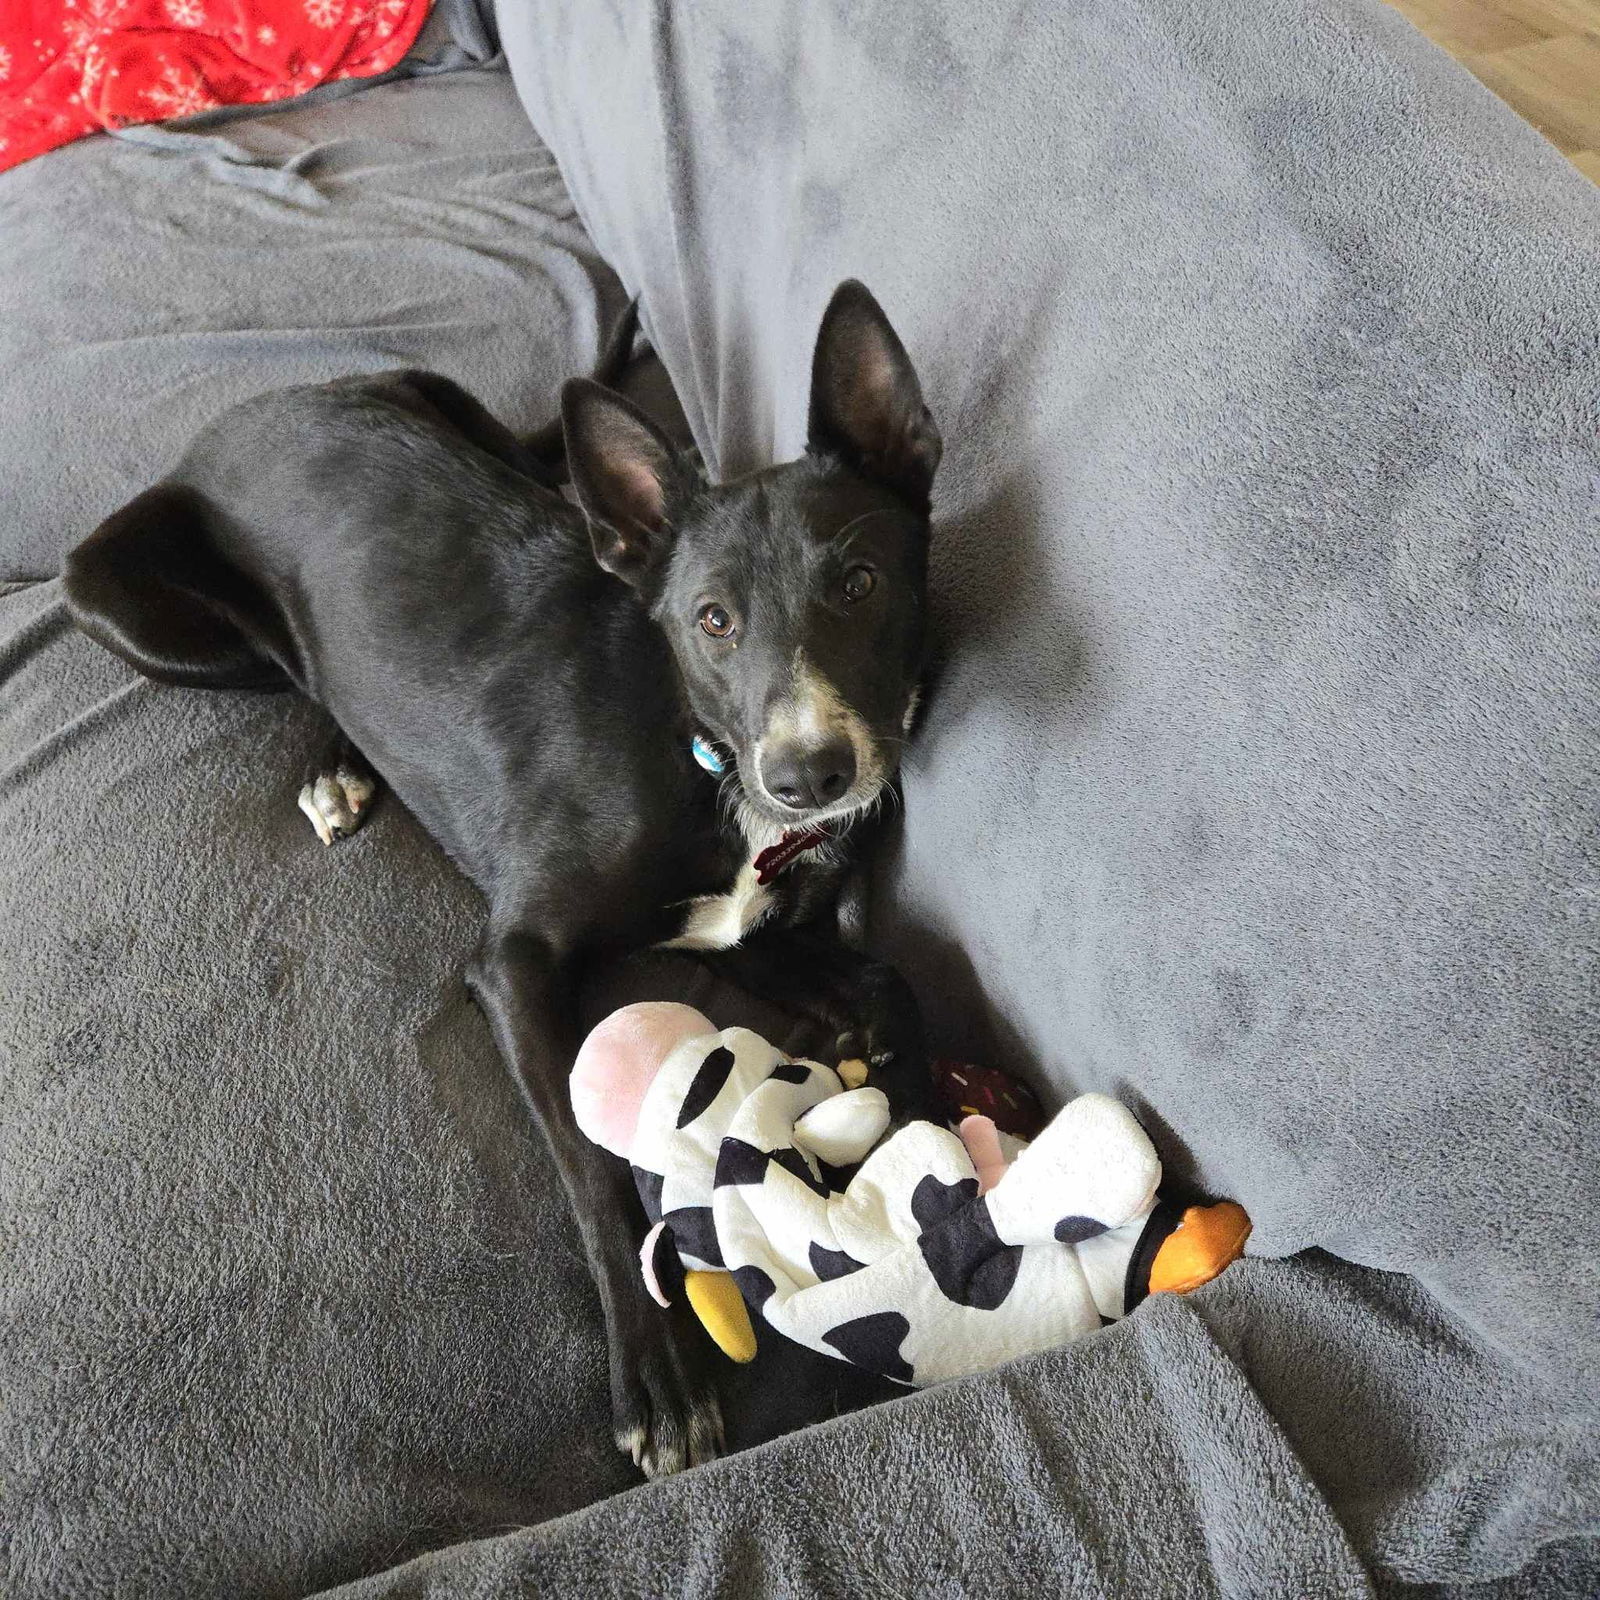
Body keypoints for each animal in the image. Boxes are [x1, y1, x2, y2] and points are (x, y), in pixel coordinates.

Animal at [65, 281, 934, 1478]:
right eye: (712, 620)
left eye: (859, 583)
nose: (810, 775)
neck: (696, 749)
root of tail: (239, 414)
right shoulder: (513, 961)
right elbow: (590, 1167)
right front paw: (658, 1380)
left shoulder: (756, 925)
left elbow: (872, 978)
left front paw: (891, 1073)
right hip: (139, 613)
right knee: (299, 673)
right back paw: (336, 764)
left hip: (456, 413)